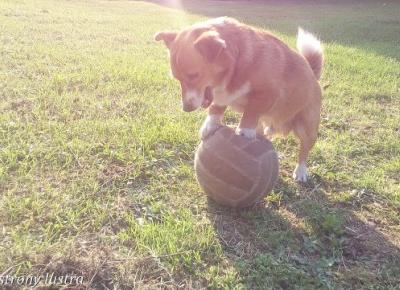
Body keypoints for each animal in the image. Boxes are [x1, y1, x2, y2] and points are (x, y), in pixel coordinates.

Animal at [155, 17, 324, 181]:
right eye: (177, 79)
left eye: (193, 75)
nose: (186, 108)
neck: (236, 64)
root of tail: (313, 74)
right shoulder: (221, 96)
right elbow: (216, 107)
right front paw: (210, 124)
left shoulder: (269, 93)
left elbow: (251, 111)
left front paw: (244, 131)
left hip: (307, 128)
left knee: (304, 151)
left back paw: (301, 171)